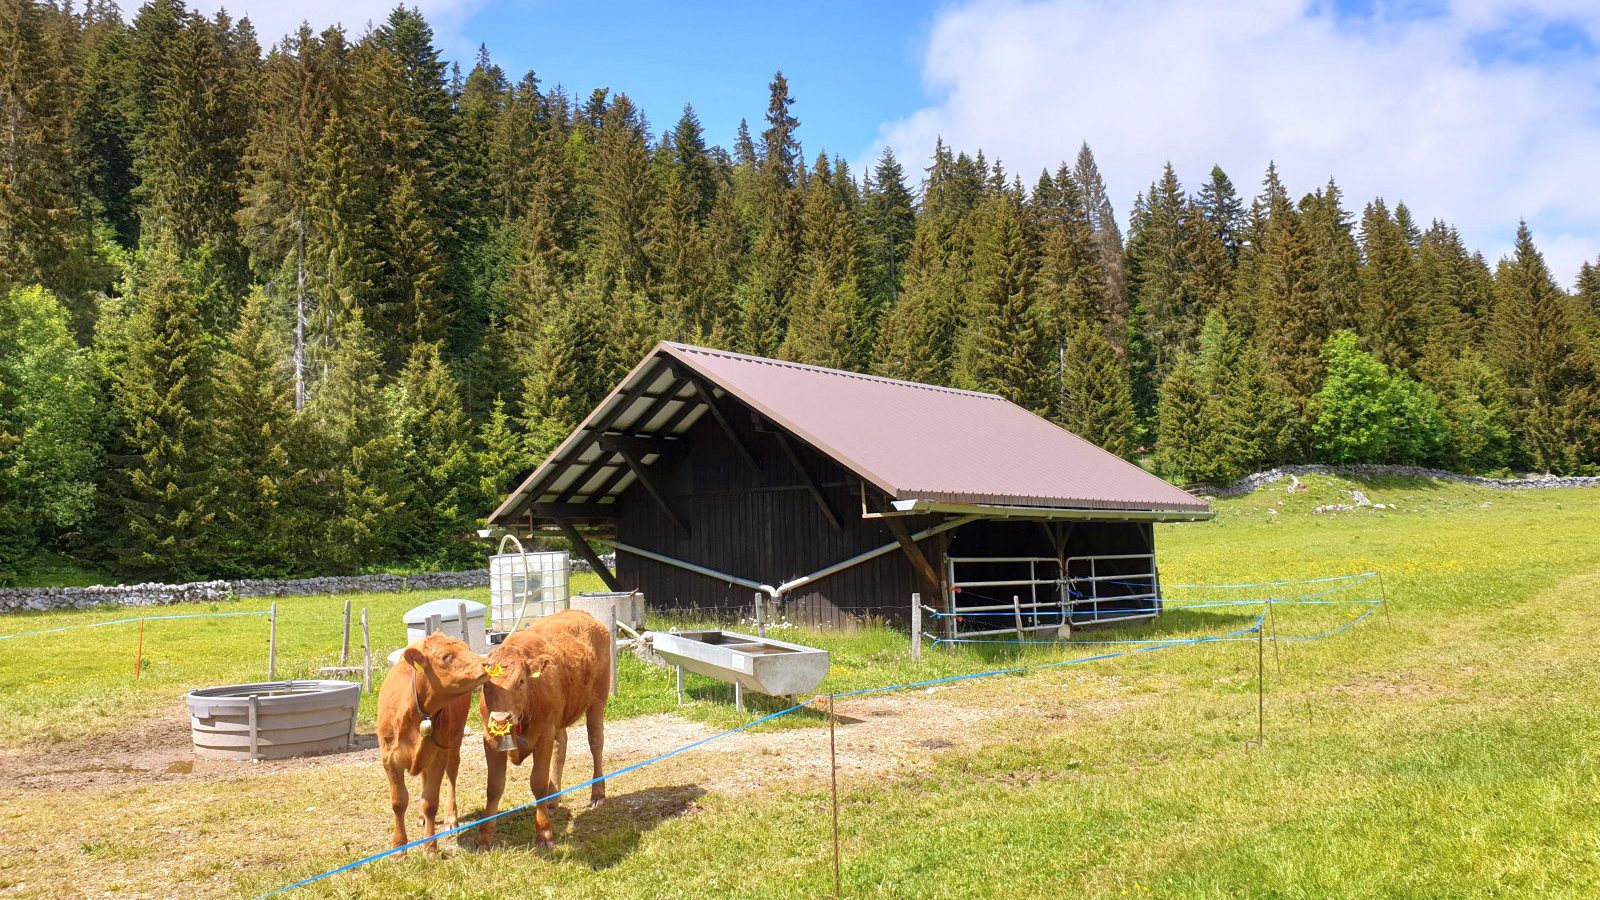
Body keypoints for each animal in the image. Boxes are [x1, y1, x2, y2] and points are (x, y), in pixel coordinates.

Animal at [374, 630, 492, 851]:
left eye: (467, 649)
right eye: (446, 656)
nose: (487, 662)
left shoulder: (438, 756)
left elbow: (431, 803)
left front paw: (430, 848)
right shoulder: (389, 758)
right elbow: (398, 802)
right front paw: (398, 848)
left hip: (453, 742)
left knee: (452, 773)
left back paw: (450, 818)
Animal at [473, 605, 611, 845]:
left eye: (521, 681)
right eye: (486, 684)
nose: (500, 719)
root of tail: (584, 614)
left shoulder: (544, 736)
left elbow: (537, 783)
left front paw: (544, 833)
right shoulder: (490, 739)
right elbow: (494, 787)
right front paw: (484, 836)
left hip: (597, 701)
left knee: (596, 743)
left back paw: (597, 794)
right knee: (561, 746)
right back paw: (552, 801)